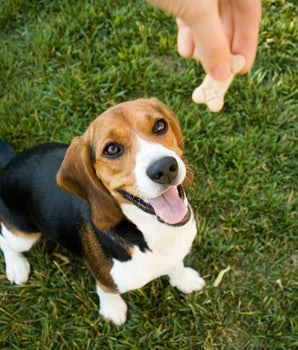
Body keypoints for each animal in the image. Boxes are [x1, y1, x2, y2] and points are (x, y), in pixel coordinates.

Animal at [0, 97, 205, 324]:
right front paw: (112, 310)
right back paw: (16, 266)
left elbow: (177, 265)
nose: (165, 168)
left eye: (160, 125)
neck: (152, 231)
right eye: (112, 149)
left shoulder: (175, 253)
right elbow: (107, 292)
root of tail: (11, 162)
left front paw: (183, 280)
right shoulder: (105, 280)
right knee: (5, 242)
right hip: (23, 236)